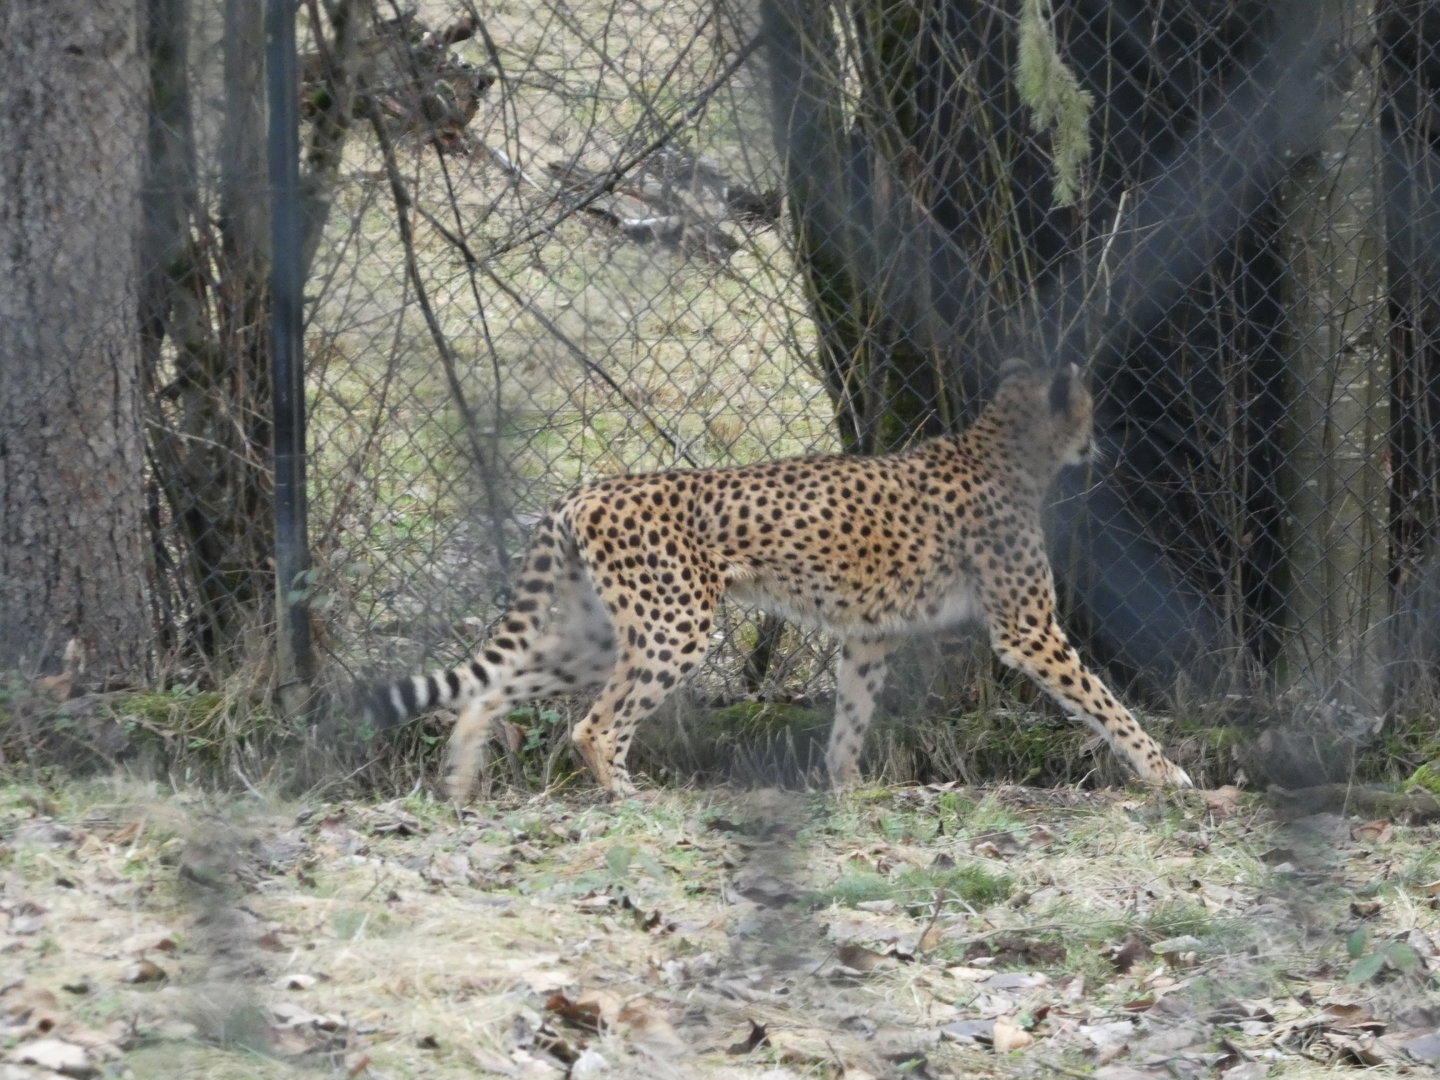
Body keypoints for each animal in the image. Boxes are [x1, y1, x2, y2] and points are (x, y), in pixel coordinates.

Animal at [362, 359, 1192, 801]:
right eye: (1087, 408)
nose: (1103, 444)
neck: (1003, 450)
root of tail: (591, 486)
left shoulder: (870, 636)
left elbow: (852, 717)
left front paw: (845, 788)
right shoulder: (1029, 629)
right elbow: (1105, 703)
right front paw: (1165, 772)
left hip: (600, 636)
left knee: (491, 689)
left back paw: (458, 783)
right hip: (674, 626)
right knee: (593, 723)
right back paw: (626, 795)